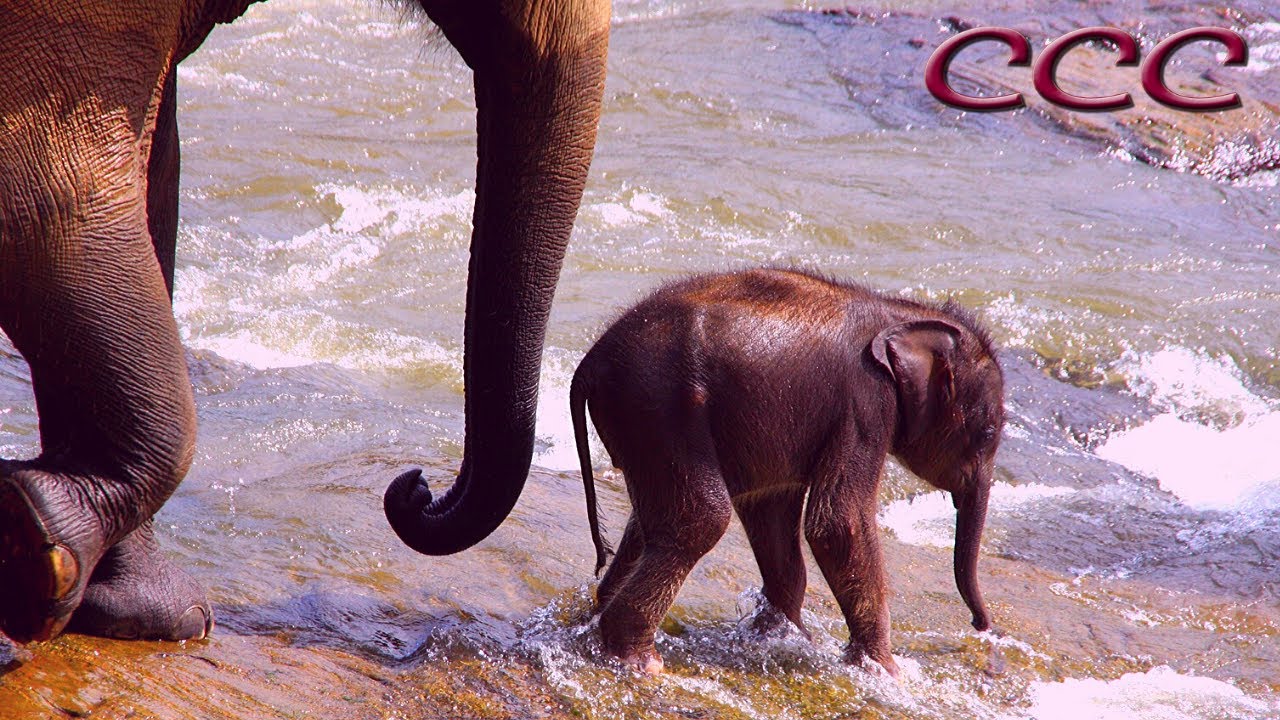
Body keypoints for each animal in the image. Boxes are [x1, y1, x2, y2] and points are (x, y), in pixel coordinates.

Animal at [569, 268, 1004, 675]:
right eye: (987, 433)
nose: (982, 626)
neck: (902, 312)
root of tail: (590, 362)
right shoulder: (866, 402)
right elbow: (839, 523)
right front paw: (887, 672)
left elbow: (771, 509)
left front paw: (782, 637)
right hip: (660, 408)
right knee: (701, 518)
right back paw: (639, 661)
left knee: (648, 522)